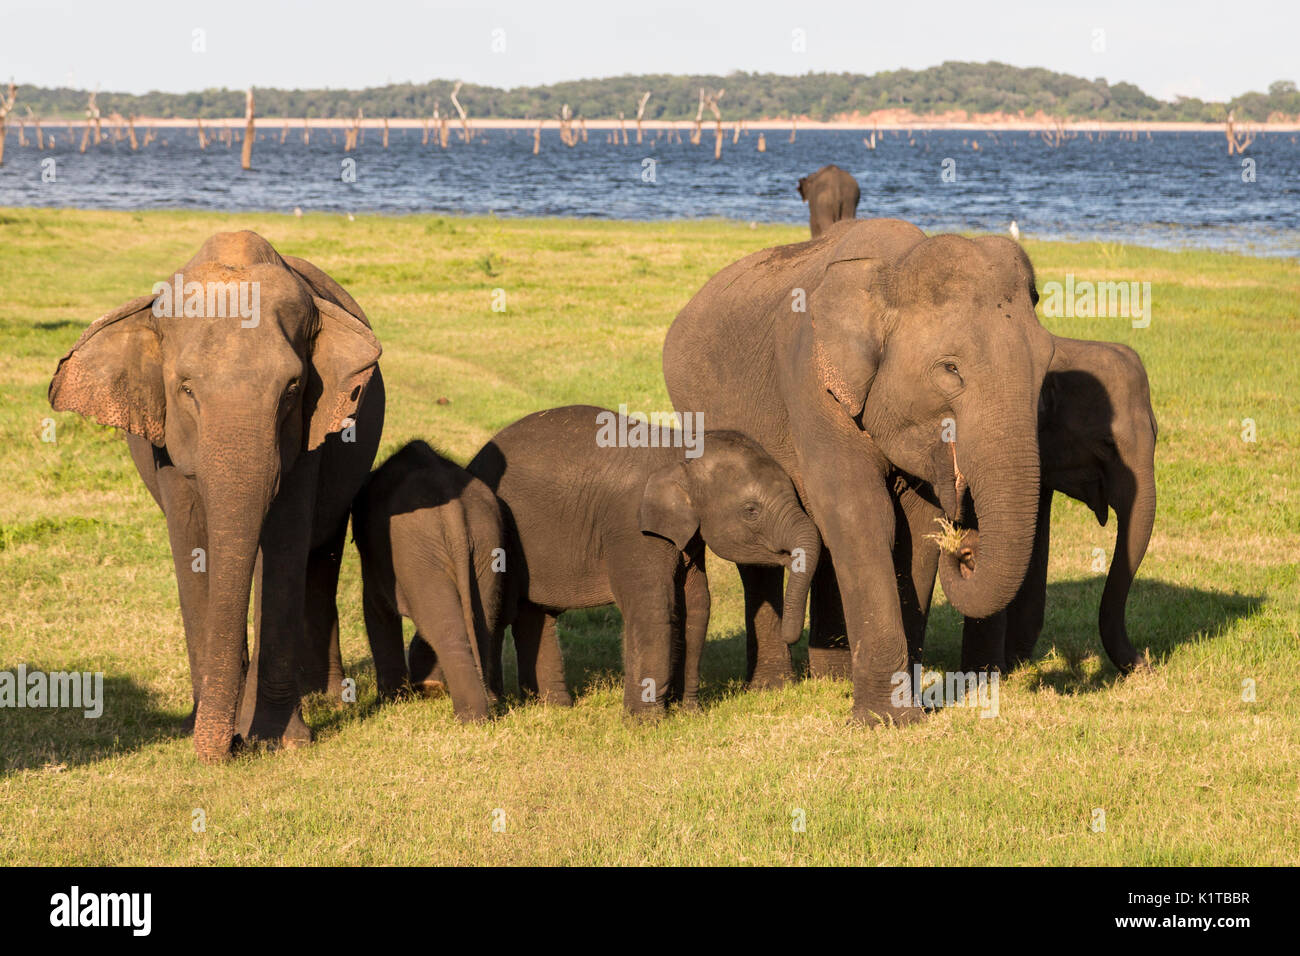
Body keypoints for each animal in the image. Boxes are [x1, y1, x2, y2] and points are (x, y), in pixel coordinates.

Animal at [50, 231, 384, 764]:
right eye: (186, 389)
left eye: (292, 388)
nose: (230, 746)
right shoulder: (165, 441)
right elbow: (192, 543)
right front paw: (204, 731)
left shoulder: (310, 436)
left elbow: (283, 548)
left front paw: (279, 740)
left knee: (322, 553)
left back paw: (324, 696)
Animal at [353, 444, 509, 723]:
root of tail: (454, 512)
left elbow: (376, 611)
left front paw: (391, 701)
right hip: (487, 545)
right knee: (482, 624)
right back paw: (487, 704)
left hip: (421, 556)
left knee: (447, 632)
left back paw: (471, 718)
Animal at [470, 405, 821, 717]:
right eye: (751, 510)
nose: (791, 637)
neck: (681, 448)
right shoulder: (630, 527)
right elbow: (653, 607)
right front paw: (645, 724)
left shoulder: (686, 536)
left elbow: (696, 604)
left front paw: (688, 714)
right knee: (500, 613)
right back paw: (499, 704)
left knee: (535, 614)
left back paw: (553, 708)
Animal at [665, 218, 1050, 723]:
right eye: (950, 369)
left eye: (1044, 364)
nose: (966, 547)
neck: (894, 267)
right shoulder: (810, 383)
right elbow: (860, 515)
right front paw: (884, 721)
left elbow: (915, 532)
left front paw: (906, 707)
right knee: (760, 551)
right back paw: (772, 685)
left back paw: (832, 676)